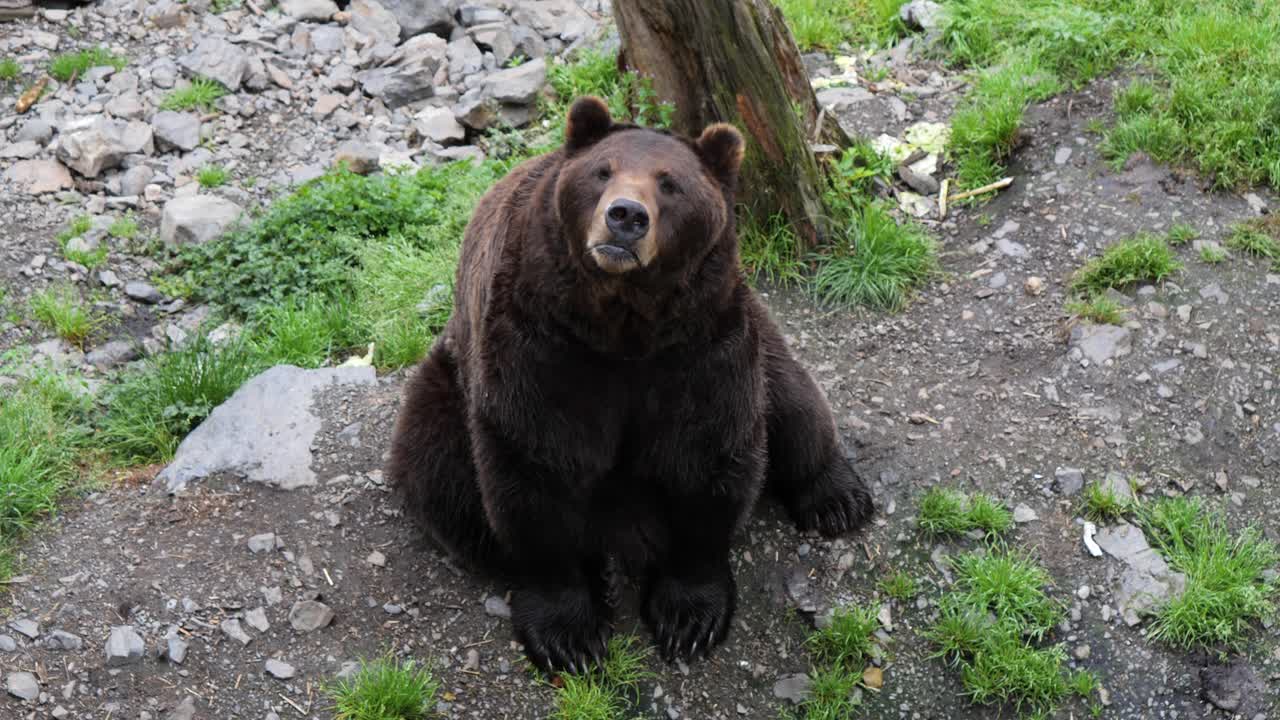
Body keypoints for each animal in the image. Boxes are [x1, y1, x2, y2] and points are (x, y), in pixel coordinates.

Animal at [387, 95, 874, 673]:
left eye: (671, 184)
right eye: (603, 171)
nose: (625, 216)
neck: (623, 324)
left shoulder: (697, 345)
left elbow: (707, 453)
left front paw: (689, 617)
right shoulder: (540, 344)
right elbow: (534, 466)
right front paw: (568, 634)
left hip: (757, 331)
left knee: (794, 402)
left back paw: (836, 498)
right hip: (446, 387)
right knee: (441, 477)